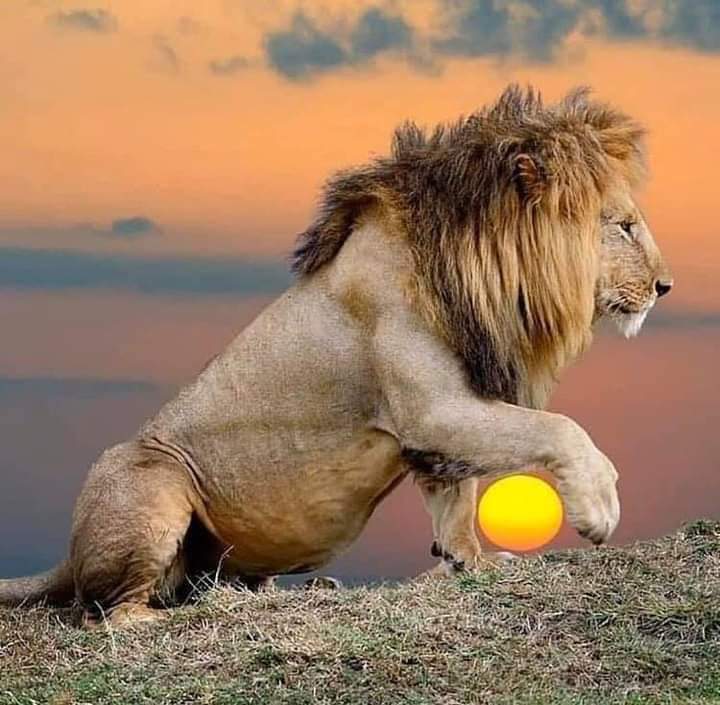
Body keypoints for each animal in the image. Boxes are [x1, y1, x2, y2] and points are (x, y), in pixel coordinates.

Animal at [0, 86, 672, 624]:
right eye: (623, 226)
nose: (666, 287)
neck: (479, 272)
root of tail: (67, 554)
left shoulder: (439, 427)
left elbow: (457, 501)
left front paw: (471, 565)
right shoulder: (434, 410)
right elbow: (558, 428)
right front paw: (599, 506)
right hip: (149, 478)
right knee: (106, 613)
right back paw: (183, 616)